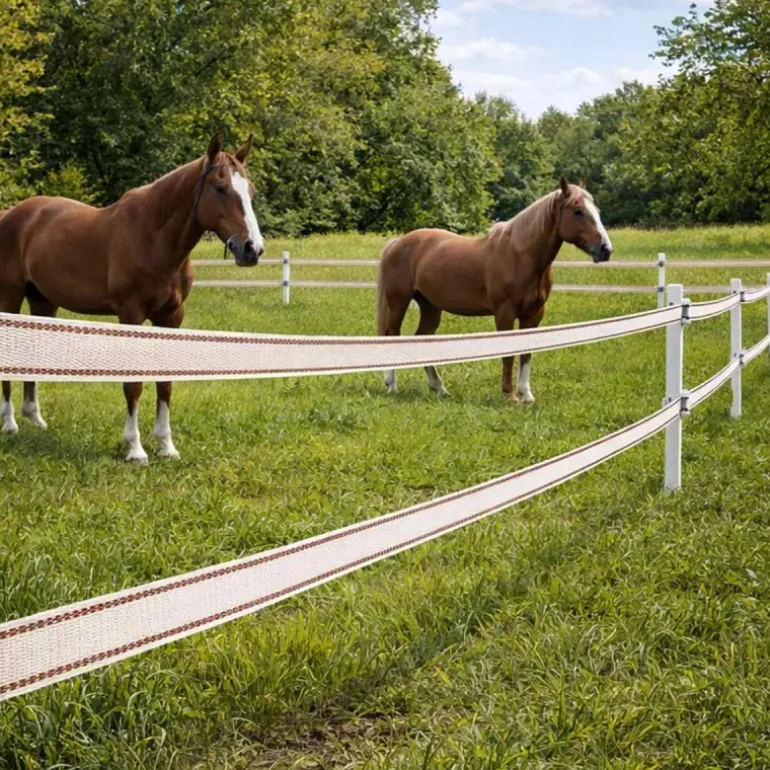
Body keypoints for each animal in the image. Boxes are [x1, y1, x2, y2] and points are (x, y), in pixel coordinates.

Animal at [0, 133, 264, 463]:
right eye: (219, 188)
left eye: (251, 191)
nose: (252, 249)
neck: (153, 237)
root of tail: (12, 215)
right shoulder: (131, 314)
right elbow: (134, 384)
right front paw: (135, 449)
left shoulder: (171, 316)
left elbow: (165, 383)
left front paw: (166, 446)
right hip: (10, 298)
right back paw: (10, 424)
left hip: (44, 302)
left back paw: (34, 417)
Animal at [376, 176, 613, 402]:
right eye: (577, 211)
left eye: (598, 211)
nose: (605, 249)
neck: (520, 256)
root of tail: (398, 242)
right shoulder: (504, 313)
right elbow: (508, 353)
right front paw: (509, 395)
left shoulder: (533, 315)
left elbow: (526, 352)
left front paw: (526, 394)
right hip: (399, 301)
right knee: (392, 335)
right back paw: (392, 385)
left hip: (430, 306)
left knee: (423, 337)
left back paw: (439, 388)